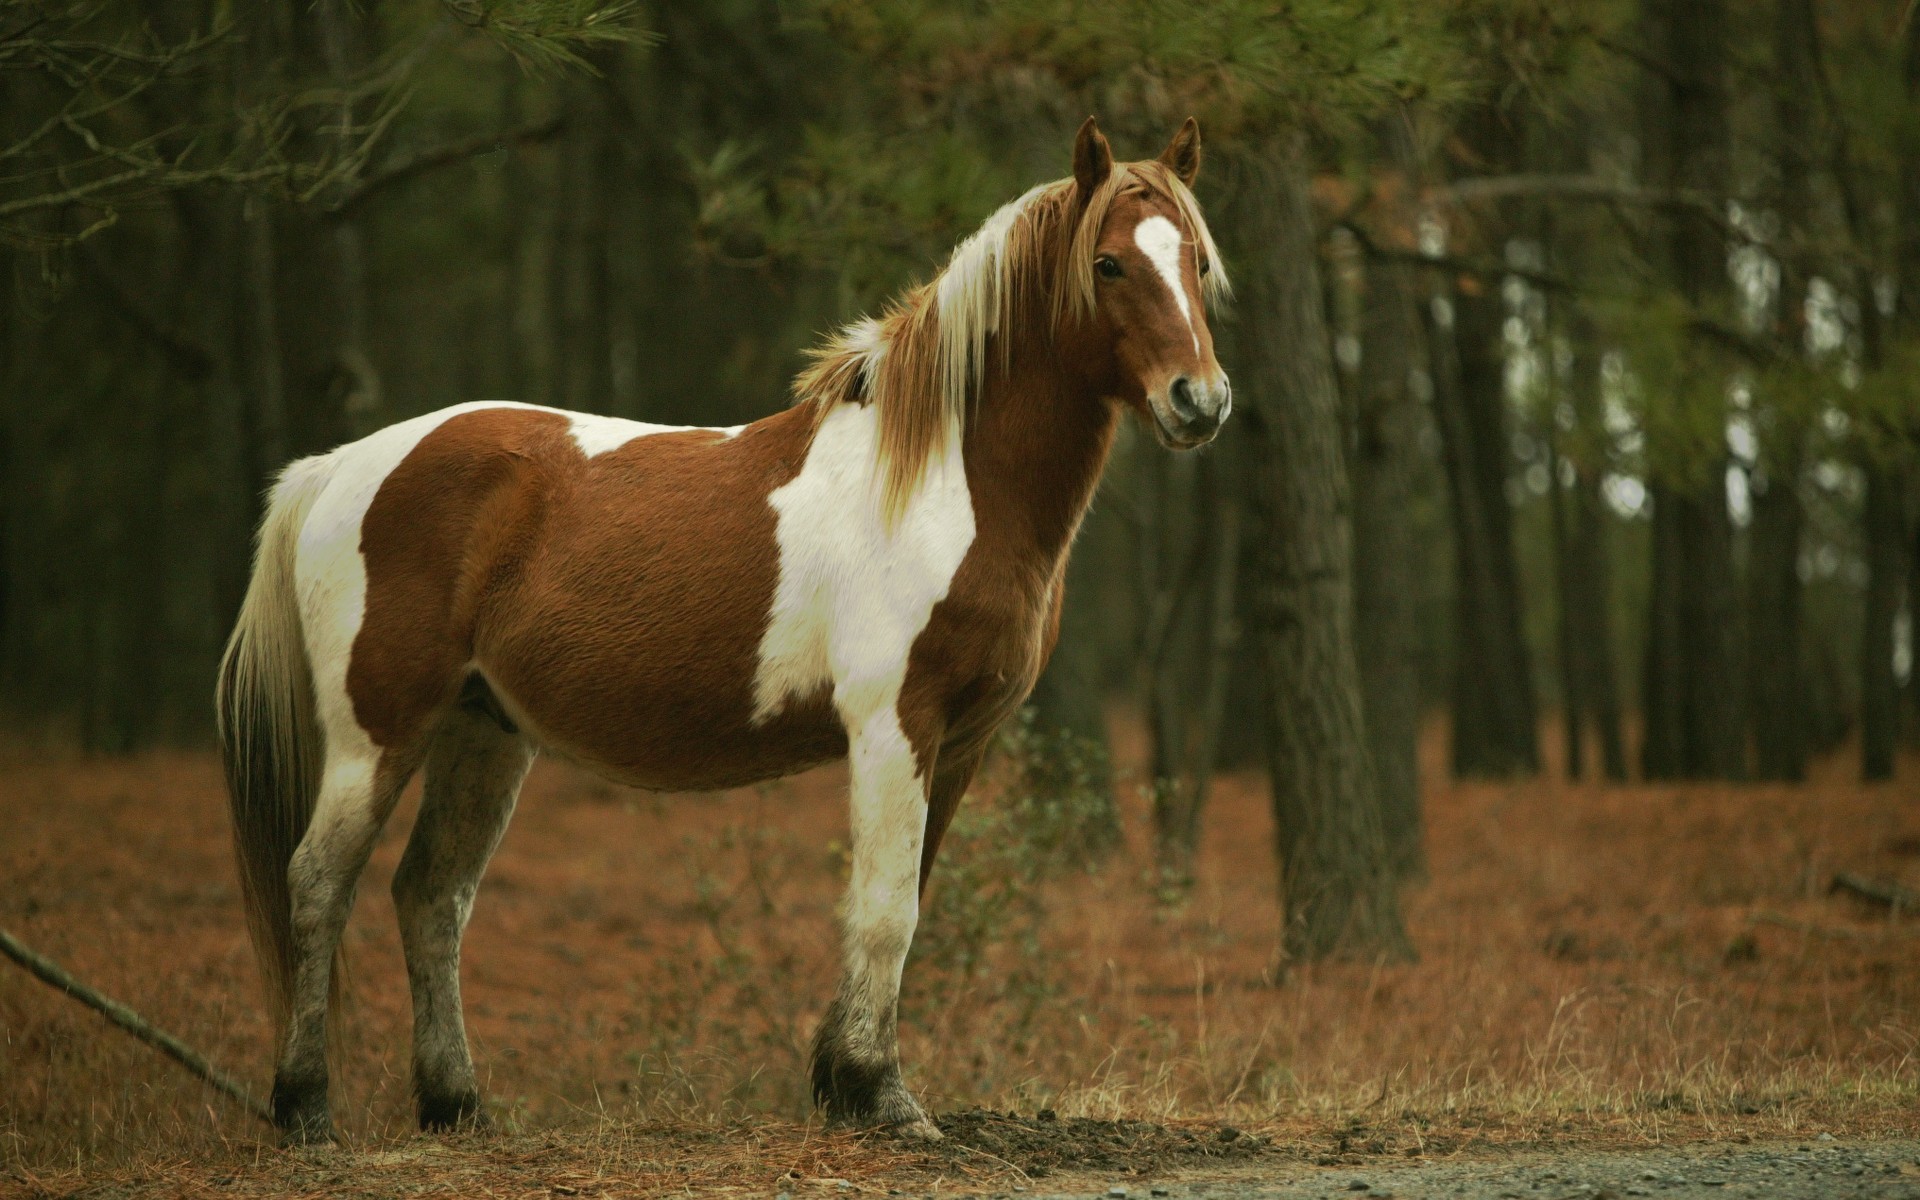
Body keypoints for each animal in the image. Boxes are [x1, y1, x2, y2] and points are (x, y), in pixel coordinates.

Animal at [214, 112, 1228, 1144]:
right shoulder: (892, 727)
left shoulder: (961, 740)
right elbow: (883, 911)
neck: (944, 480)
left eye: (1195, 260)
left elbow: (905, 896)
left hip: (482, 733)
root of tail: (338, 466)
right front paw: (880, 1094)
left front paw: (840, 1079)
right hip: (374, 734)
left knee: (430, 896)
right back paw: (305, 1107)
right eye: (1108, 264)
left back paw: (455, 1105)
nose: (1201, 401)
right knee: (317, 885)